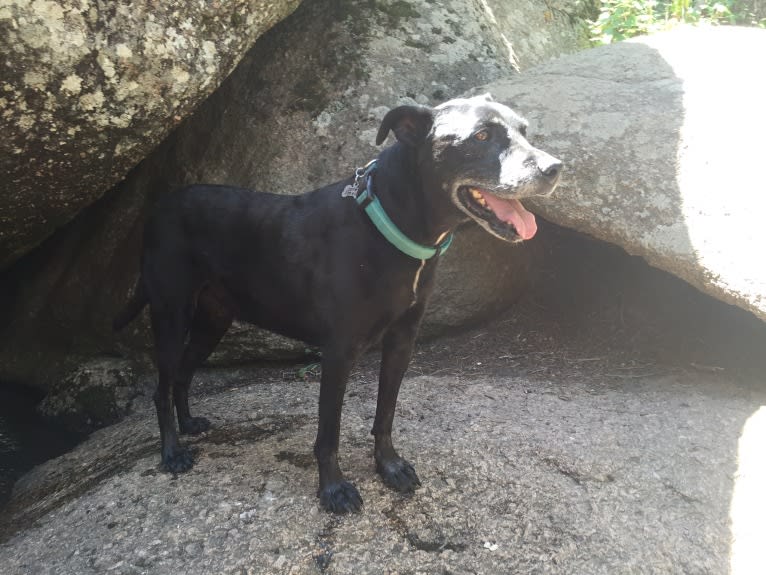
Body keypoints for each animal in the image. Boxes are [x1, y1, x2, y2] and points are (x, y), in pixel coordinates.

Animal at [114, 93, 560, 512]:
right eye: (481, 136)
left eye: (525, 130)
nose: (555, 168)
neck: (388, 225)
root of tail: (159, 208)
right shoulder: (339, 352)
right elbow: (329, 432)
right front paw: (334, 489)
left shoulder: (402, 342)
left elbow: (385, 413)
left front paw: (389, 465)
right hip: (171, 315)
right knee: (162, 387)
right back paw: (172, 452)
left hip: (213, 320)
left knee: (184, 374)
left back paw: (189, 423)